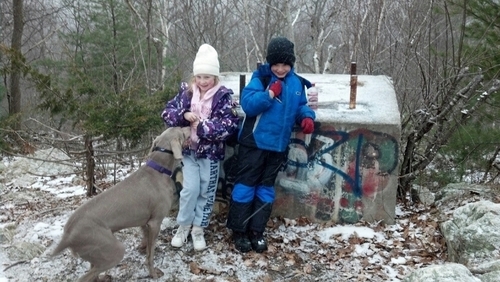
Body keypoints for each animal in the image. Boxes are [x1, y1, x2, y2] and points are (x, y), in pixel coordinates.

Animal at [51, 126, 190, 280]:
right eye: (182, 131)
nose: (189, 126)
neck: (158, 168)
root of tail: (67, 235)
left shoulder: (144, 222)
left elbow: (146, 243)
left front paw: (143, 249)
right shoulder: (155, 222)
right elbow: (150, 254)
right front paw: (153, 273)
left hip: (97, 252)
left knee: (94, 270)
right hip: (113, 249)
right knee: (86, 277)